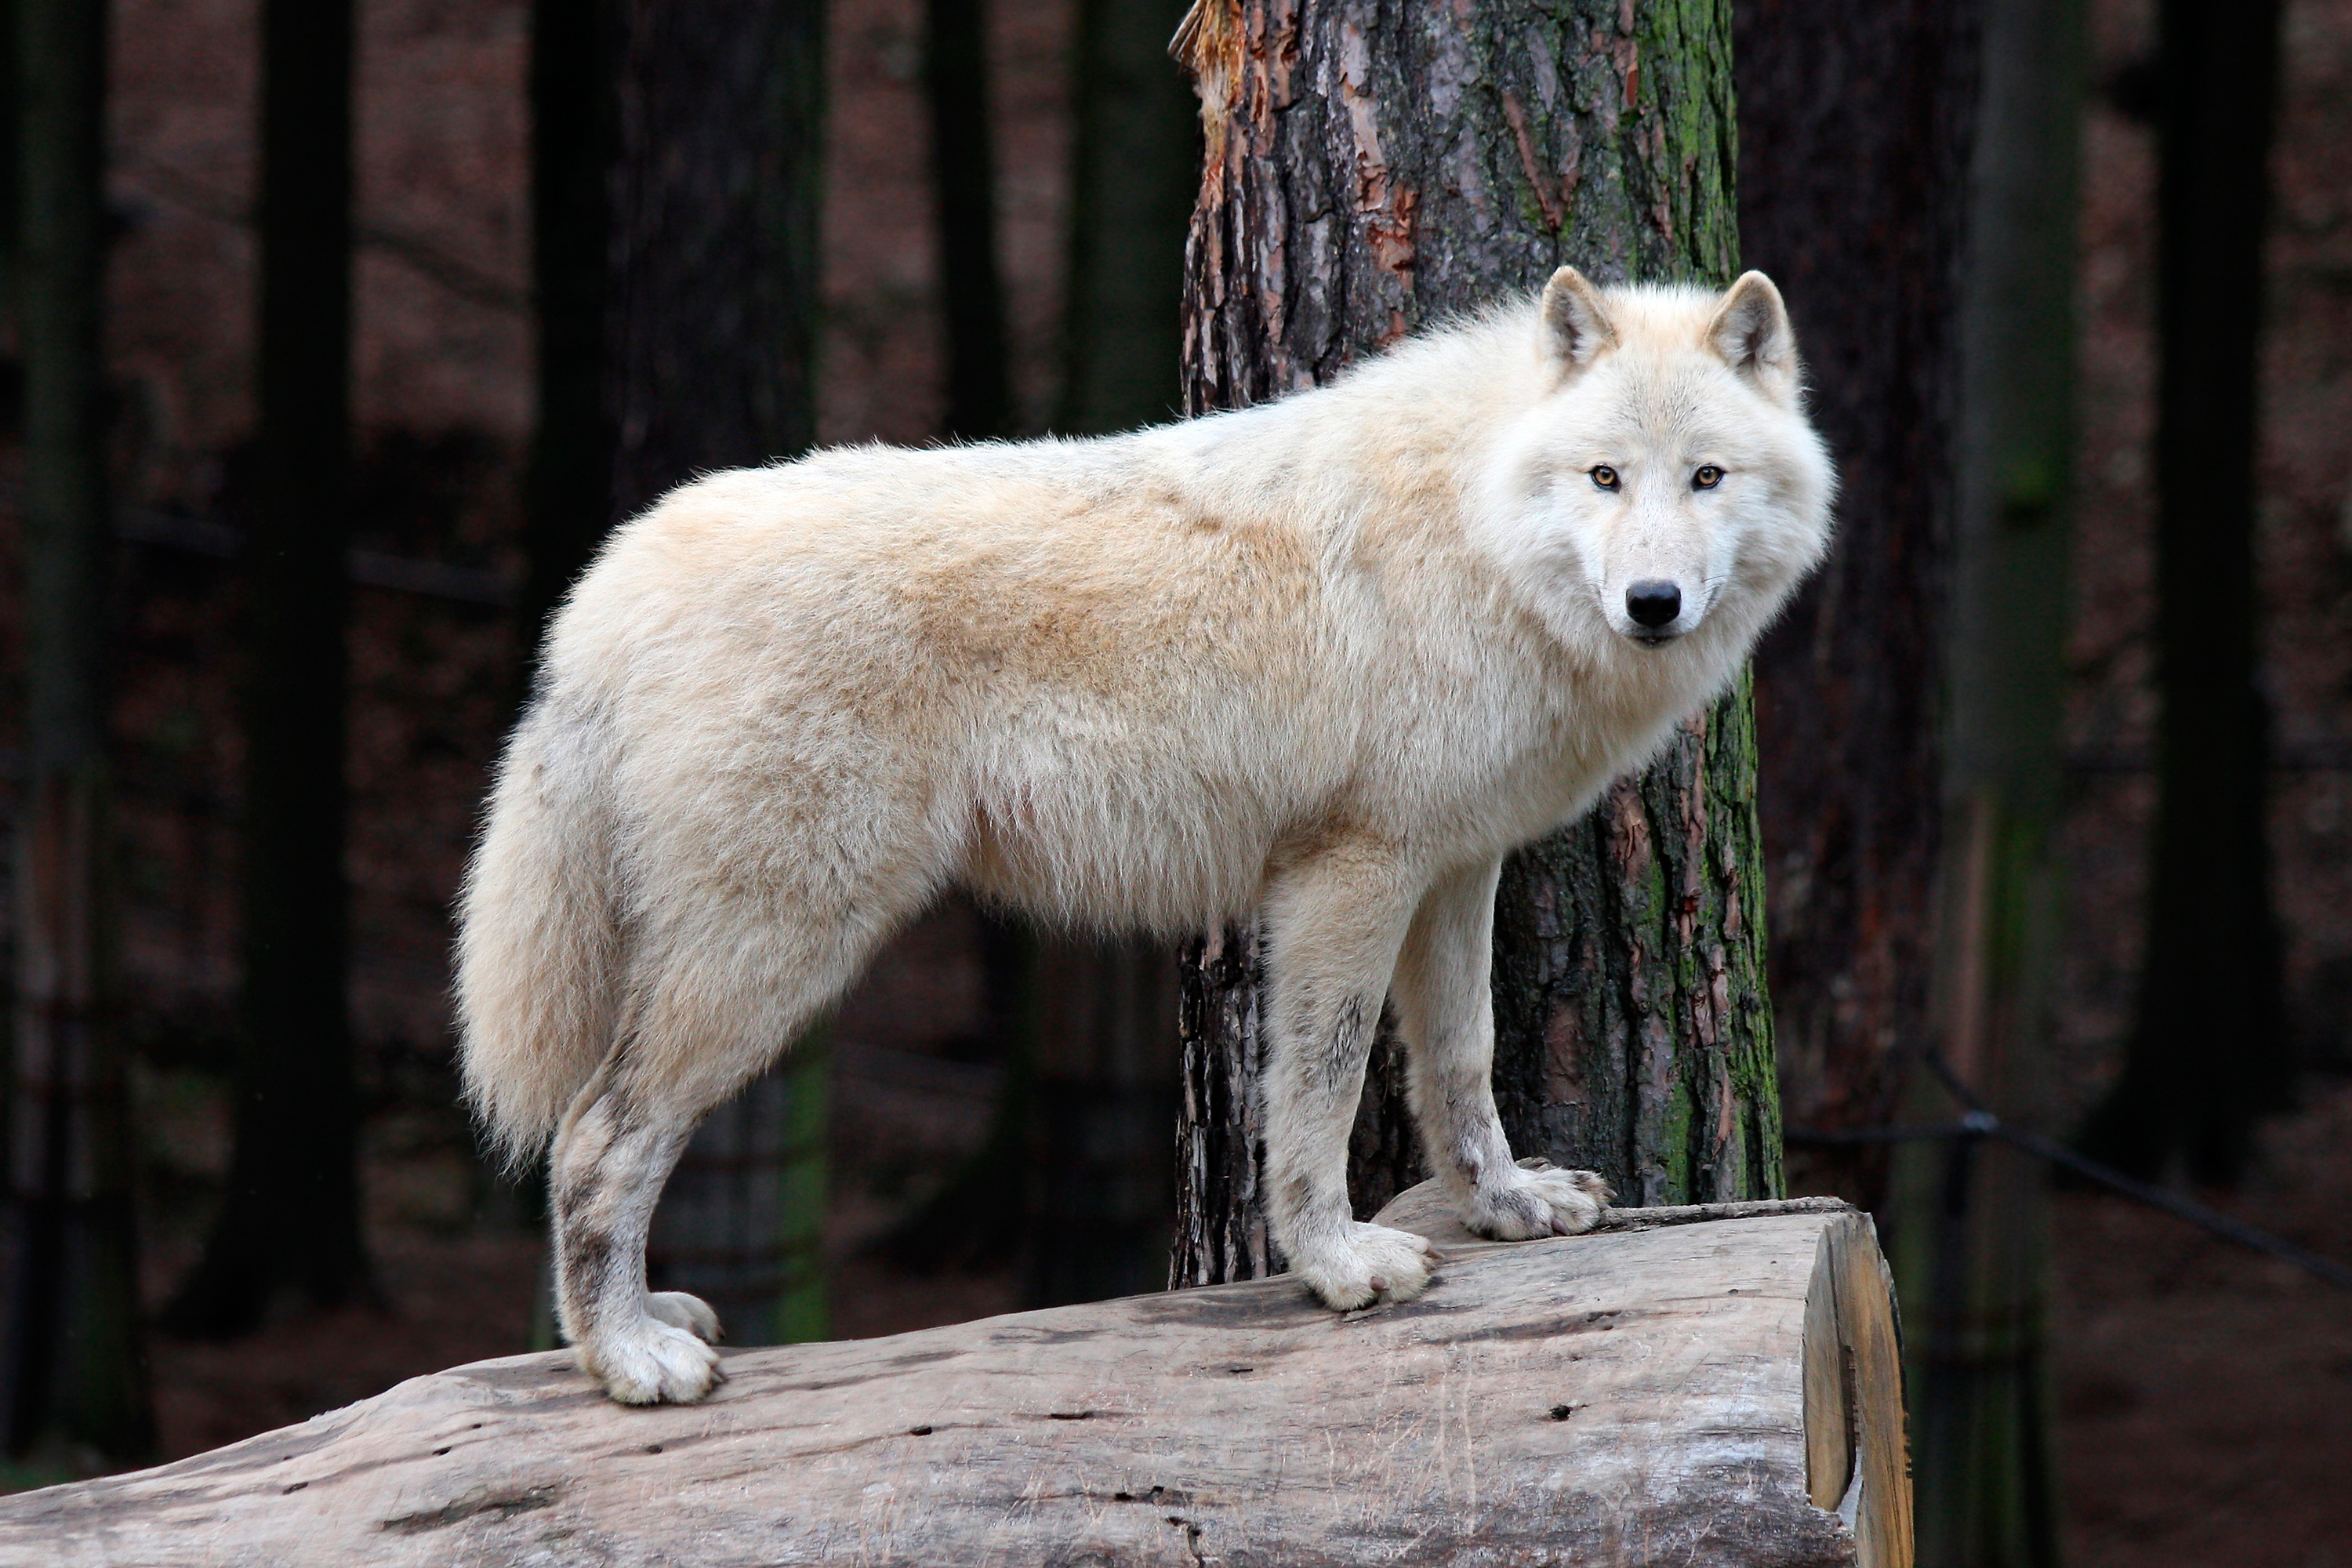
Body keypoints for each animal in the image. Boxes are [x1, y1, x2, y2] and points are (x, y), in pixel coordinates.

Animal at [455, 267, 1834, 1405]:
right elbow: (1323, 1088)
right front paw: (1337, 1265)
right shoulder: (1350, 873)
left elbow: (1461, 1062)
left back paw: (638, 1328)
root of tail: (608, 588)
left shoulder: (1453, 868)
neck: (1474, 525)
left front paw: (1506, 1205)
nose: (1652, 602)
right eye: (1605, 479)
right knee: (594, 1141)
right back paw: (630, 1360)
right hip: (776, 956)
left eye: (1705, 478)